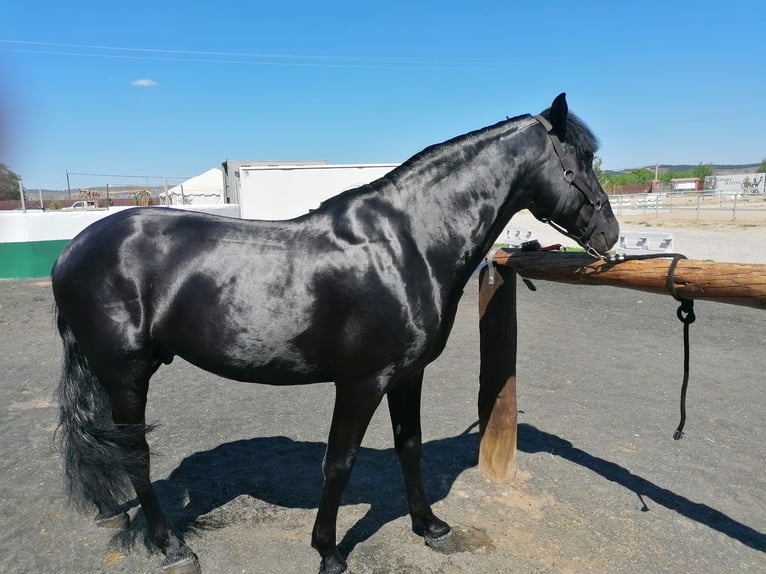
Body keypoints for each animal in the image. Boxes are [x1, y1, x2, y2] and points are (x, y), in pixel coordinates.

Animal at [52, 94, 616, 574]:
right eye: (583, 159)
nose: (609, 234)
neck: (407, 245)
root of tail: (72, 250)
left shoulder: (407, 377)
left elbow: (410, 447)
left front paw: (429, 526)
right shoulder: (362, 382)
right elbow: (339, 464)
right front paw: (328, 552)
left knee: (104, 441)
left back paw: (112, 511)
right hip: (128, 374)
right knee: (134, 455)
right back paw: (172, 547)